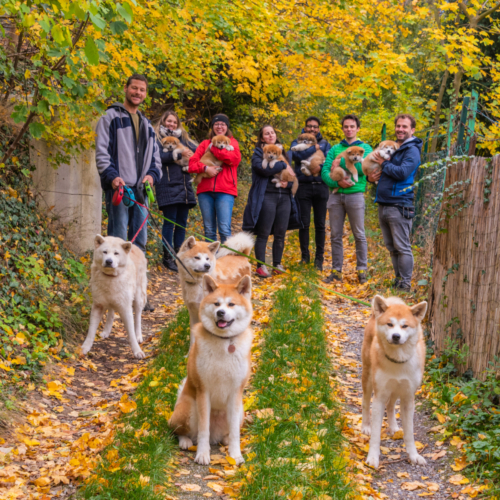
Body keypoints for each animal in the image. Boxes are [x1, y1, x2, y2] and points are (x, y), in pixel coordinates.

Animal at [169, 274, 254, 464]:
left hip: (239, 412)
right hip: (187, 409)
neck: (224, 342)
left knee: (228, 433)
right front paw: (202, 454)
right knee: (180, 432)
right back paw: (185, 441)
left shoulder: (236, 393)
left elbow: (235, 433)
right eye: (216, 304)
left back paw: (225, 440)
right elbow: (203, 430)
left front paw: (235, 455)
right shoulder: (203, 391)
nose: (220, 313)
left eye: (231, 304)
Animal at [362, 294, 428, 466]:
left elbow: (409, 433)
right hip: (368, 379)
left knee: (391, 405)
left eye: (405, 326)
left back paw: (393, 427)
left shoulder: (408, 397)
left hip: (397, 389)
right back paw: (365, 426)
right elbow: (375, 434)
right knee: (365, 402)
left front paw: (413, 455)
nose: (396, 336)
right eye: (390, 324)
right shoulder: (379, 396)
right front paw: (373, 457)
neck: (398, 361)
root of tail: (375, 316)